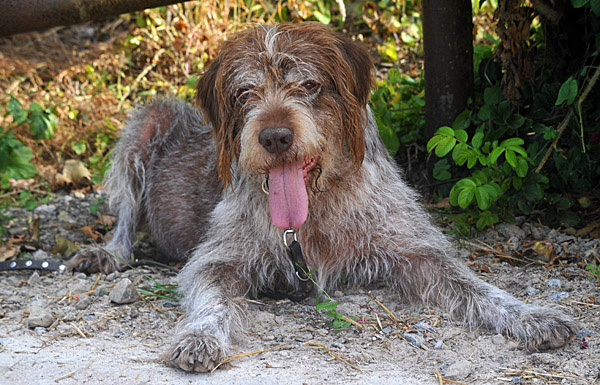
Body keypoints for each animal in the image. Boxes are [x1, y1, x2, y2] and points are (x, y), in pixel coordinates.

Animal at [68, 22, 580, 370]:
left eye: (310, 85)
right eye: (245, 93)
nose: (274, 136)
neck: (316, 207)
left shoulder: (419, 252)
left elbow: (479, 288)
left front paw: (531, 315)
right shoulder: (217, 260)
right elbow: (212, 302)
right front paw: (200, 338)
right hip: (147, 121)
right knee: (125, 215)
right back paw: (109, 253)